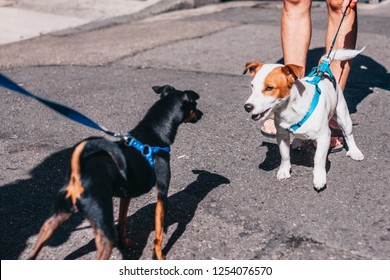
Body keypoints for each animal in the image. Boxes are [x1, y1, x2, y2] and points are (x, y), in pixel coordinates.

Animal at [29, 85, 203, 260]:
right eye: (194, 105)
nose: (202, 114)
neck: (154, 132)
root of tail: (78, 175)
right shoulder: (162, 194)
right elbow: (159, 233)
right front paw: (159, 256)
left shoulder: (126, 195)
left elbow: (122, 221)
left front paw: (124, 242)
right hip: (103, 229)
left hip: (59, 215)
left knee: (42, 236)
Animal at [244, 49, 366, 191]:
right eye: (252, 86)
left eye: (269, 88)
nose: (247, 107)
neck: (289, 109)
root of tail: (323, 71)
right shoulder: (281, 134)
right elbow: (284, 155)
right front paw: (284, 170)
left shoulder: (324, 136)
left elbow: (318, 159)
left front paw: (319, 178)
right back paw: (297, 141)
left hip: (342, 115)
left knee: (348, 135)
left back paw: (354, 152)